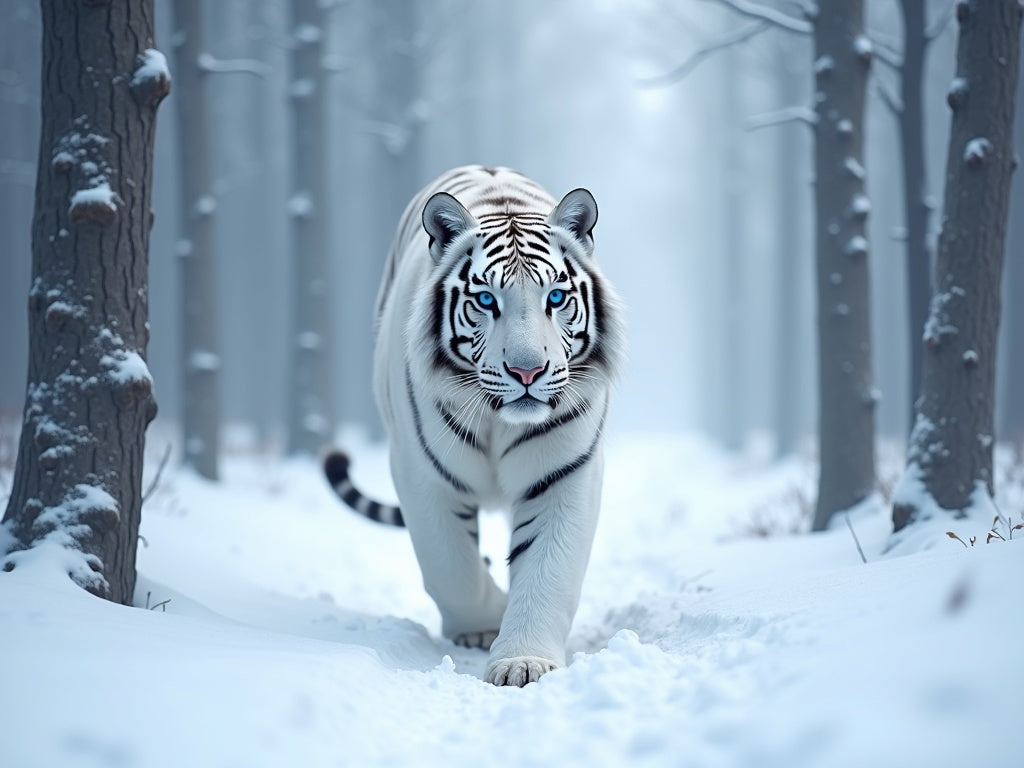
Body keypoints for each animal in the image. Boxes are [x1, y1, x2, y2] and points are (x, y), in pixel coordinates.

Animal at [323, 165, 624, 686]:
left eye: (556, 297)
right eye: (486, 299)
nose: (528, 372)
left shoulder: (564, 472)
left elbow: (547, 568)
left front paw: (524, 661)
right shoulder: (422, 473)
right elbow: (451, 566)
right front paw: (482, 624)